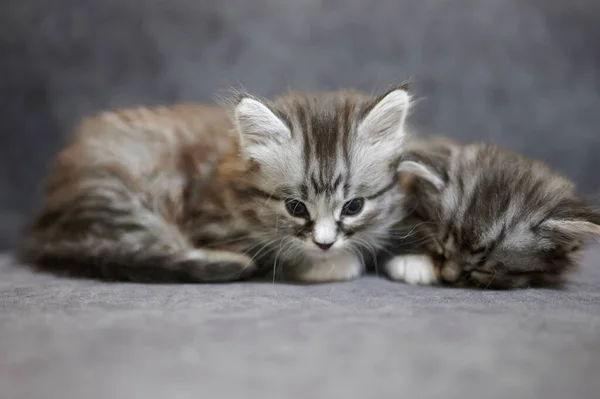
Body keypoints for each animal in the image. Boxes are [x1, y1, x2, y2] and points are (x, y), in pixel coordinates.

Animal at [18, 85, 412, 284]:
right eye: (296, 207)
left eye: (353, 206)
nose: (325, 244)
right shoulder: (210, 221)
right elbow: (275, 252)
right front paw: (331, 264)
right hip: (127, 189)